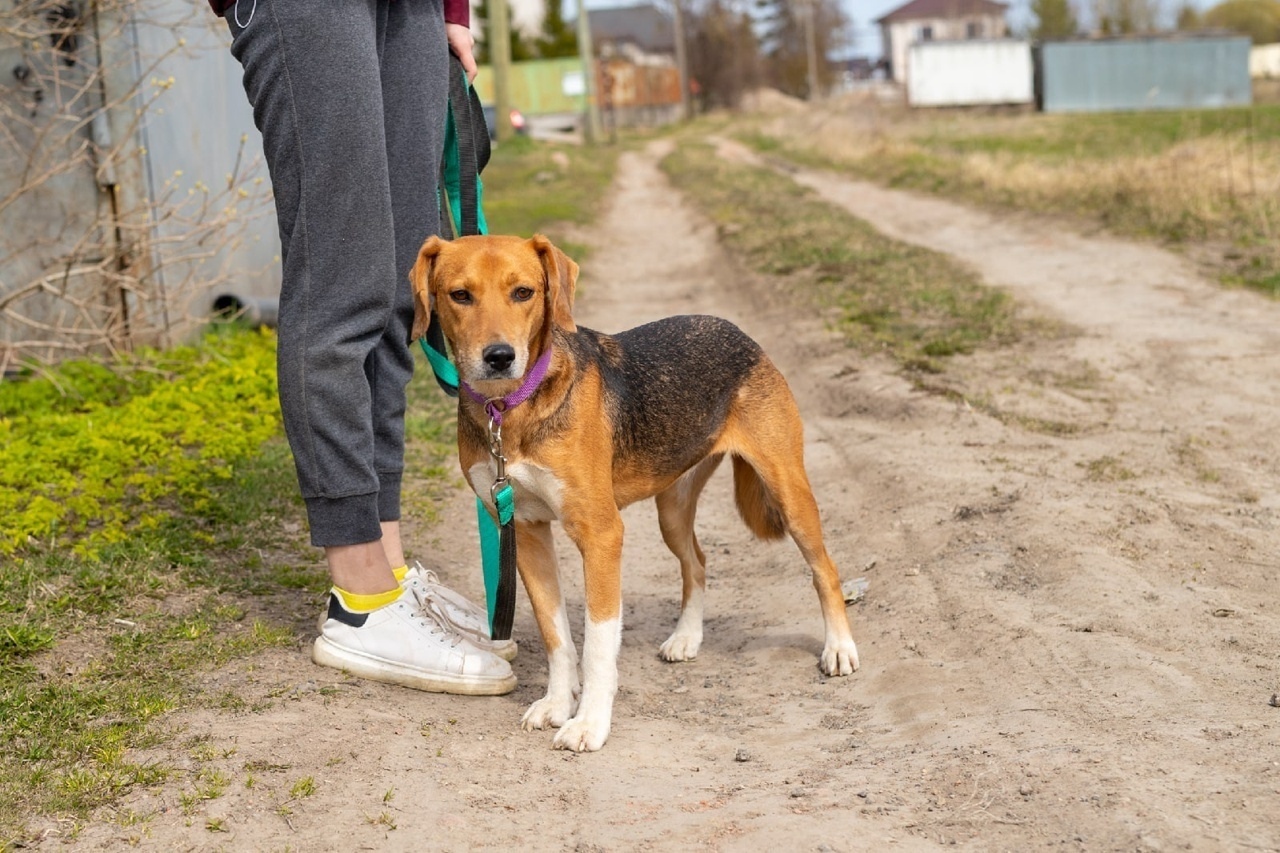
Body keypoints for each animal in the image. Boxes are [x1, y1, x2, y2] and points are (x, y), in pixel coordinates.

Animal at [412, 234, 860, 753]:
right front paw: (557, 703)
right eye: (460, 295)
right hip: (672, 508)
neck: (510, 410)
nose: (499, 356)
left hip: (788, 491)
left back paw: (839, 648)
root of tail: (736, 331)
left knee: (825, 570)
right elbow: (556, 635)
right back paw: (687, 638)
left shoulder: (601, 535)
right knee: (697, 562)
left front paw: (588, 723)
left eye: (523, 292)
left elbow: (598, 646)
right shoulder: (526, 530)